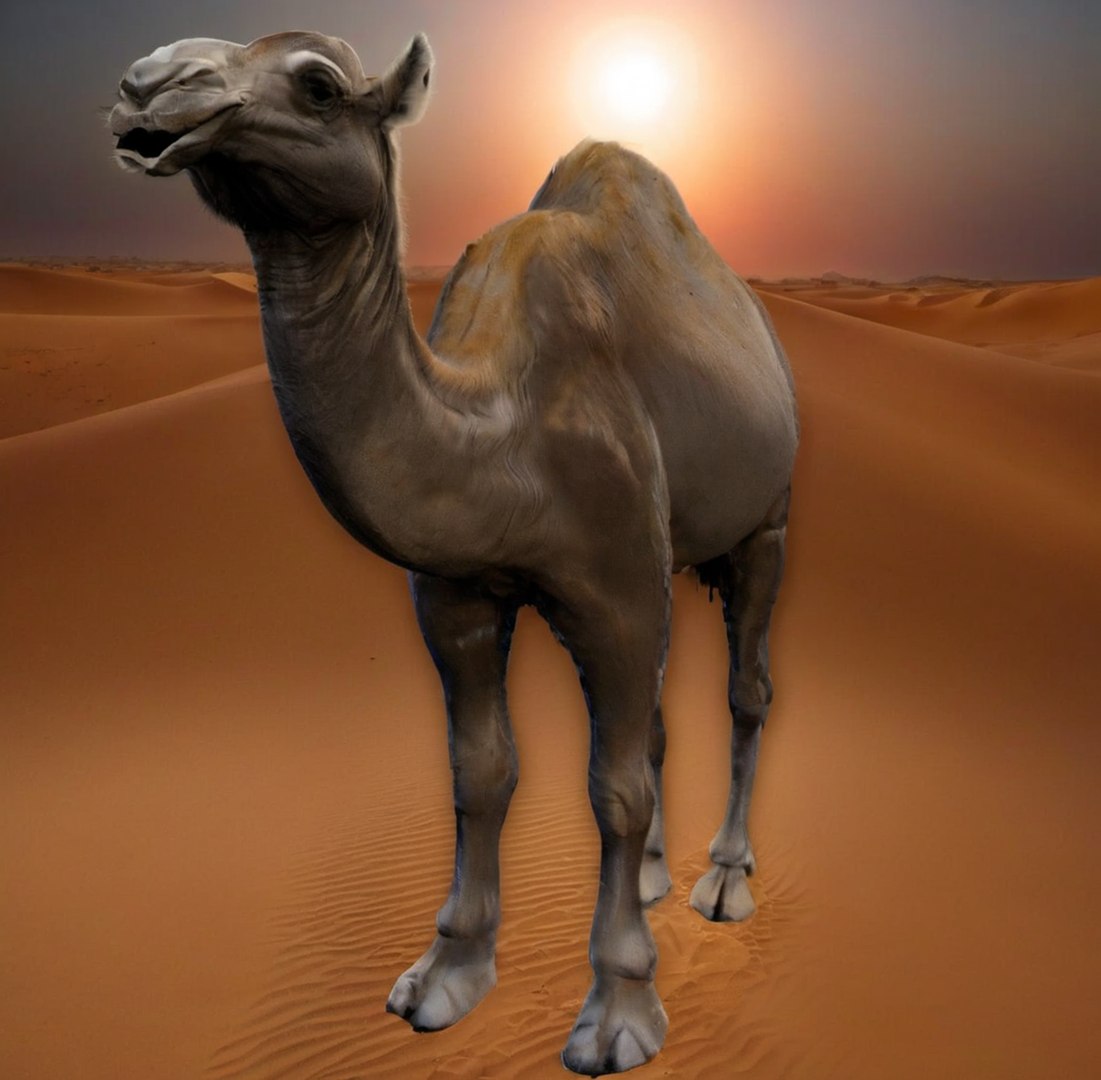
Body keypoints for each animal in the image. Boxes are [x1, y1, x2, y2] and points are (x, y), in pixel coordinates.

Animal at [110, 31, 797, 1076]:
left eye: (318, 84)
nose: (145, 83)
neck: (498, 429)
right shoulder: (457, 596)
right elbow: (482, 771)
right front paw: (446, 975)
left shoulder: (614, 594)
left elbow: (613, 789)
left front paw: (619, 1010)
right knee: (659, 719)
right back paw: (647, 880)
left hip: (768, 520)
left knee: (744, 691)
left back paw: (722, 880)